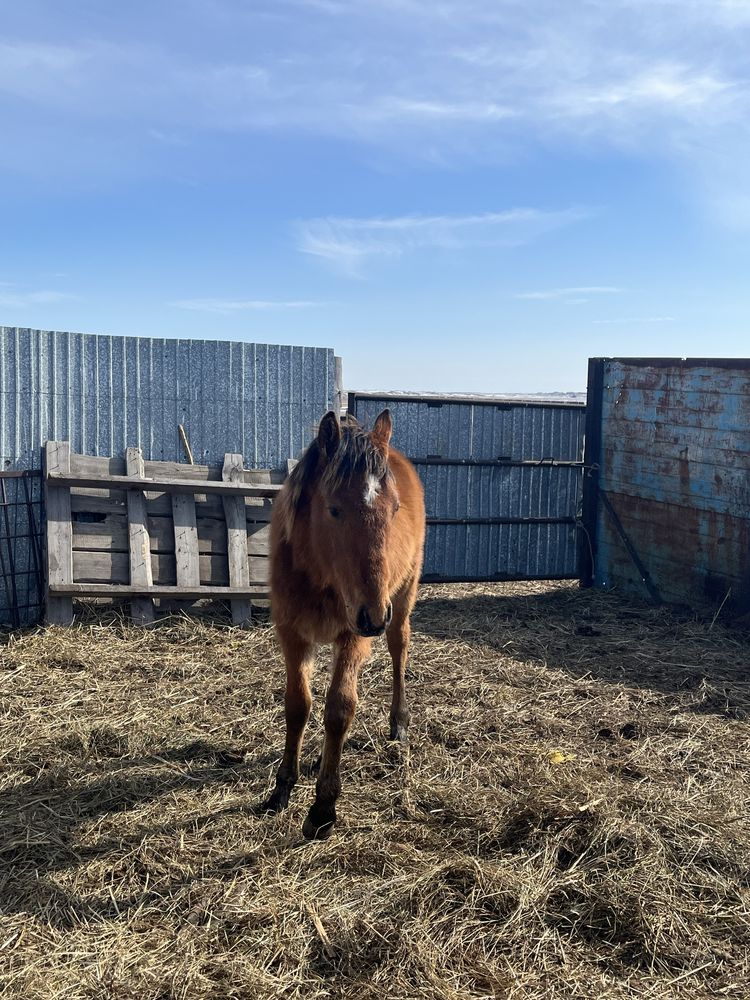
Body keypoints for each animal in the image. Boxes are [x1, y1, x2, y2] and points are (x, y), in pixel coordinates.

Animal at [266, 410, 428, 840]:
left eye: (394, 510)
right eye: (334, 509)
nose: (373, 614)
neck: (319, 575)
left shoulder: (352, 637)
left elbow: (339, 710)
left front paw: (323, 807)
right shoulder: (292, 635)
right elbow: (297, 705)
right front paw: (282, 786)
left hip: (402, 598)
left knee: (399, 649)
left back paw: (399, 724)